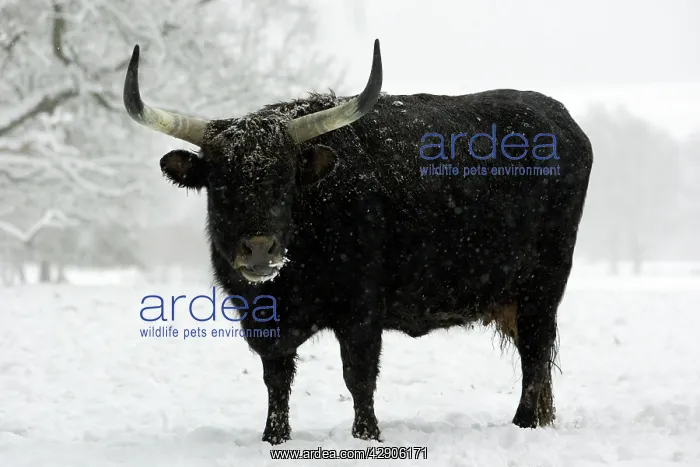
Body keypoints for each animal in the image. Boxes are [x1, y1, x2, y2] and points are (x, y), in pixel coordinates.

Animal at [123, 39, 593, 444]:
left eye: (285, 181)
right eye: (220, 183)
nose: (259, 249)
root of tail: (559, 118)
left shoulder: (362, 310)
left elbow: (359, 376)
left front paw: (366, 435)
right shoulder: (262, 319)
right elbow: (277, 379)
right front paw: (274, 436)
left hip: (540, 289)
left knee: (535, 356)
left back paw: (524, 424)